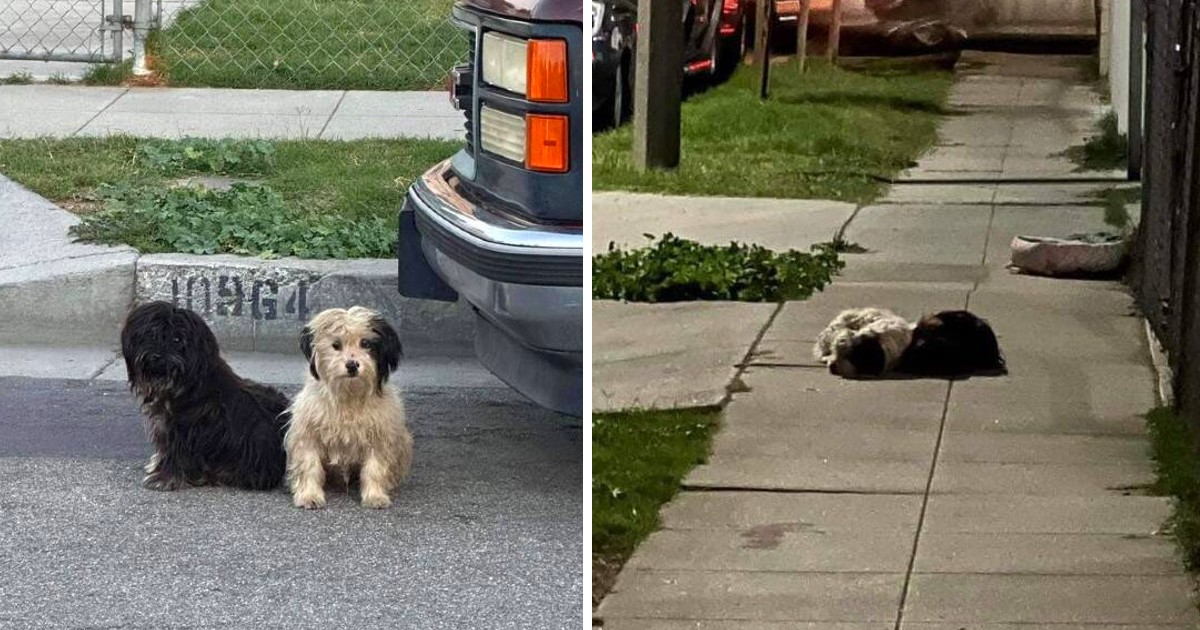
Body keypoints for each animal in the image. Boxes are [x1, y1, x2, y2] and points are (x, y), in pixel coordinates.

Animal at [120, 301, 290, 492]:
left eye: (177, 339)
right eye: (151, 333)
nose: (156, 356)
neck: (184, 384)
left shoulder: (181, 430)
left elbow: (175, 454)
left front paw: (164, 478)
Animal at [284, 307, 412, 508]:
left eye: (365, 343)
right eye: (336, 345)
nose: (352, 365)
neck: (349, 396)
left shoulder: (379, 437)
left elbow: (374, 469)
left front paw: (374, 496)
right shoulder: (308, 435)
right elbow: (310, 465)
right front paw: (309, 495)